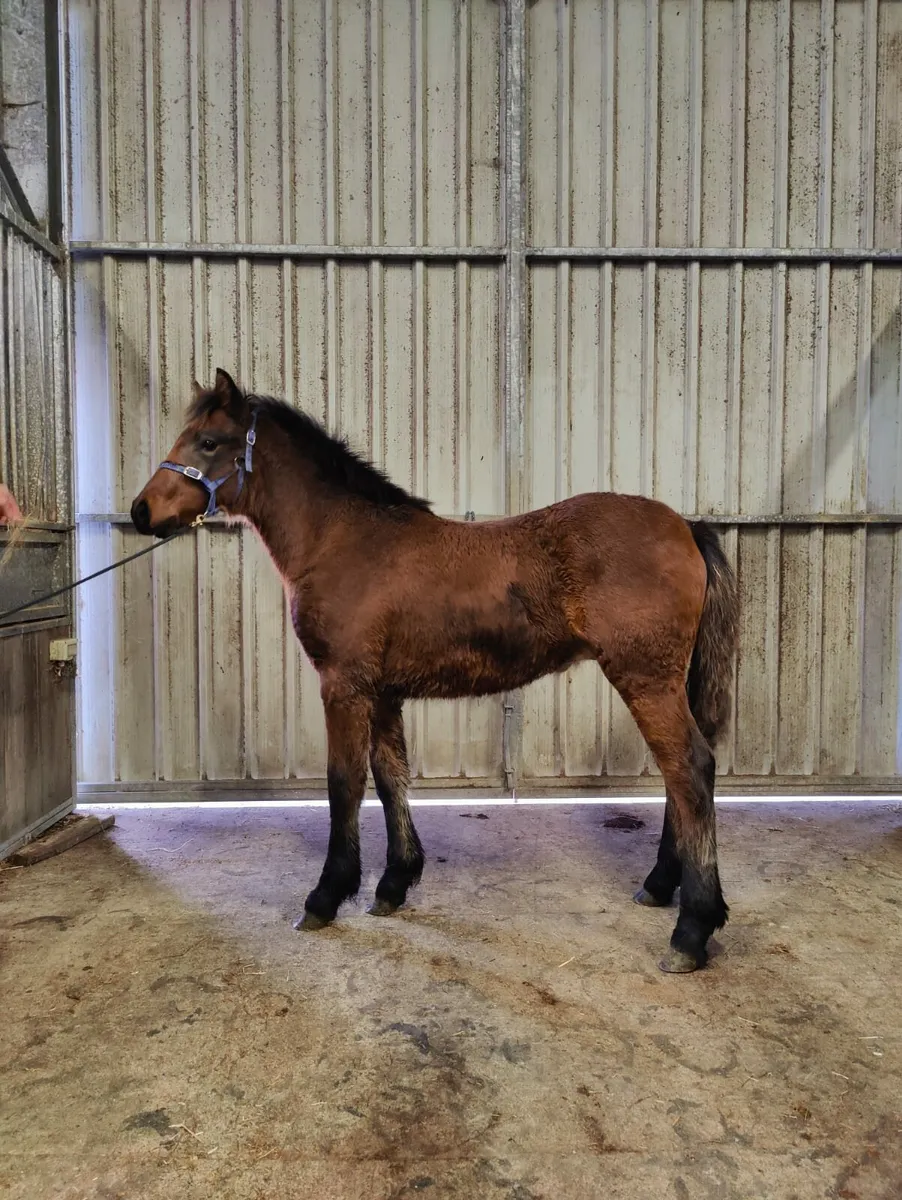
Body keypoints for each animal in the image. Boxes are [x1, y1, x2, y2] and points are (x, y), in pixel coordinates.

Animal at [131, 369, 739, 973]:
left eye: (209, 442)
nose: (141, 511)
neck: (344, 540)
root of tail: (686, 527)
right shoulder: (381, 692)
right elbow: (390, 778)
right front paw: (393, 884)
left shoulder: (344, 686)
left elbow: (344, 783)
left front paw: (326, 896)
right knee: (681, 774)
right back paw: (660, 886)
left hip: (646, 679)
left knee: (690, 768)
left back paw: (691, 929)